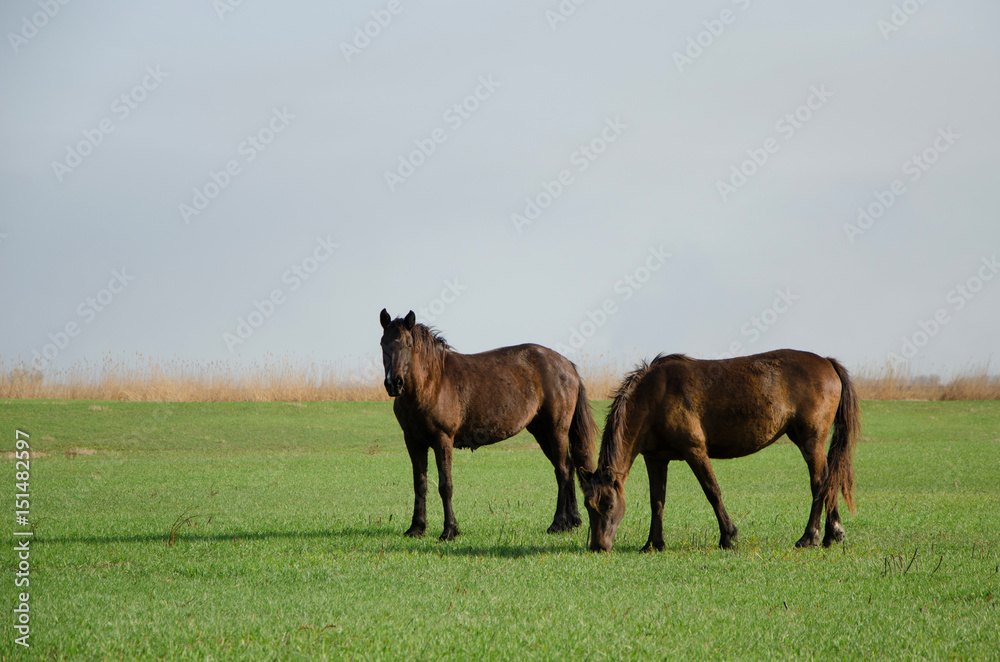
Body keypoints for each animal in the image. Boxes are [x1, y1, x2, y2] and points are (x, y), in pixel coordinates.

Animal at [379, 309, 597, 540]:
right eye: (383, 343)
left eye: (407, 344)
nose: (393, 383)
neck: (431, 383)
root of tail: (567, 365)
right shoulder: (413, 441)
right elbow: (420, 484)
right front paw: (417, 528)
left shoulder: (442, 440)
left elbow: (445, 485)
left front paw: (449, 530)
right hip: (541, 432)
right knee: (568, 467)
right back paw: (572, 521)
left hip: (556, 430)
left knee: (563, 470)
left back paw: (557, 523)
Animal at [580, 350, 860, 552]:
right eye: (587, 506)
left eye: (607, 504)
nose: (598, 547)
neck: (654, 396)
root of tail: (826, 362)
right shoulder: (655, 459)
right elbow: (657, 500)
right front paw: (653, 544)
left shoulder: (695, 451)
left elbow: (712, 492)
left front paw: (728, 537)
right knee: (829, 481)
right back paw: (832, 534)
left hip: (811, 442)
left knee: (820, 484)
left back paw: (810, 537)